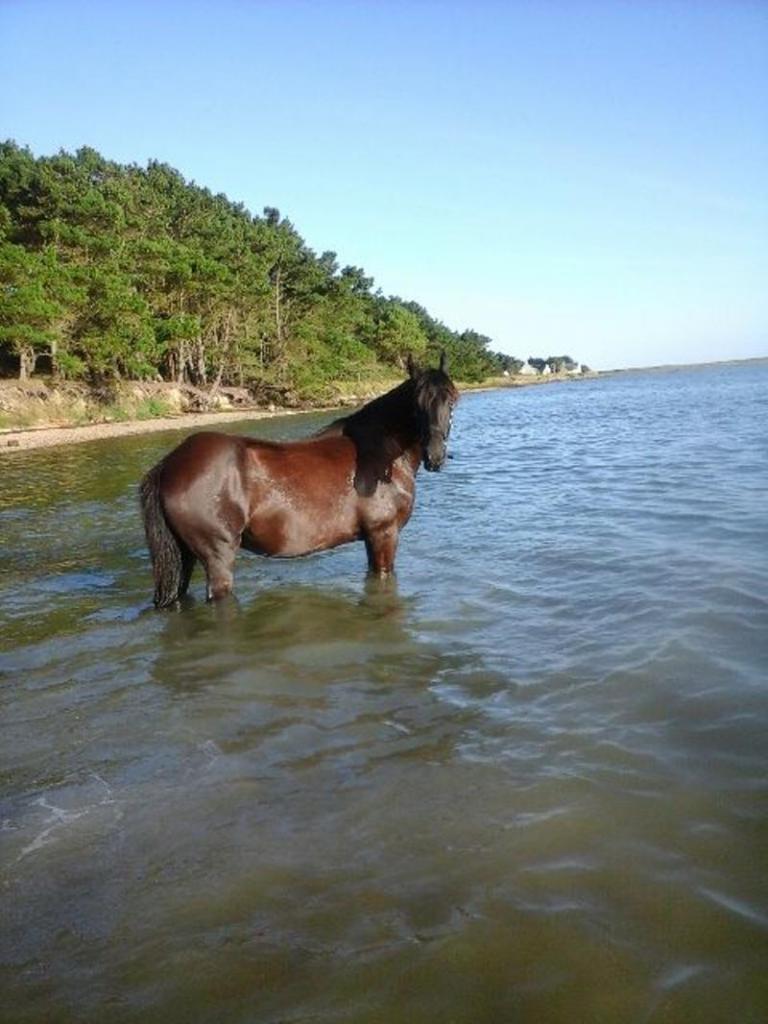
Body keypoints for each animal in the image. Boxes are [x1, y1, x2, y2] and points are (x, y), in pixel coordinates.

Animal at [140, 356, 456, 602]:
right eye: (416, 404)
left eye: (452, 400)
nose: (435, 455)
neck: (379, 454)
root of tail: (170, 463)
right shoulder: (384, 534)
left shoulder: (373, 538)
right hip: (218, 556)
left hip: (185, 556)